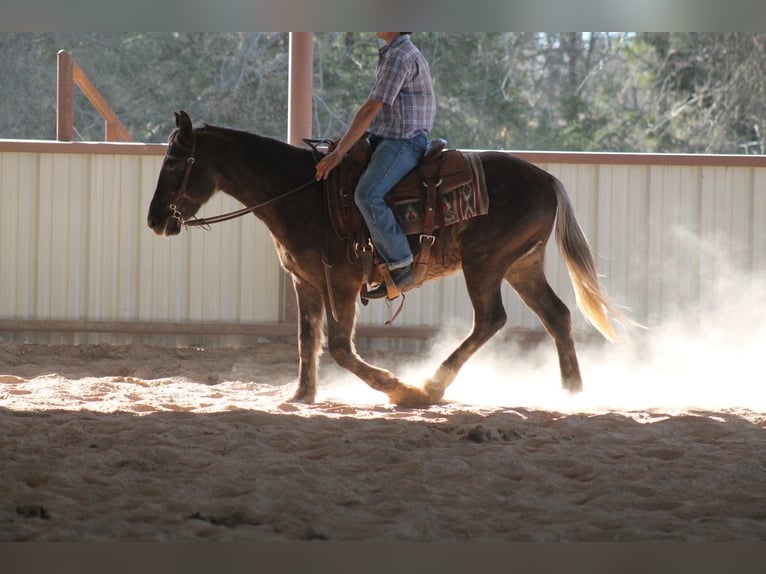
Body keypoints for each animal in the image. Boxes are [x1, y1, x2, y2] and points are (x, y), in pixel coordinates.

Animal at [147, 110, 624, 407]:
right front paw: (301, 396)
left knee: (491, 320)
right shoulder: (305, 282)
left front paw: (397, 389)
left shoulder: (340, 282)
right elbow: (307, 340)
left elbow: (340, 347)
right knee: (557, 315)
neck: (302, 193)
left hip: (486, 264)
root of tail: (547, 180)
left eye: (173, 163)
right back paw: (571, 391)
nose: (154, 220)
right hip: (521, 266)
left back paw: (430, 385)